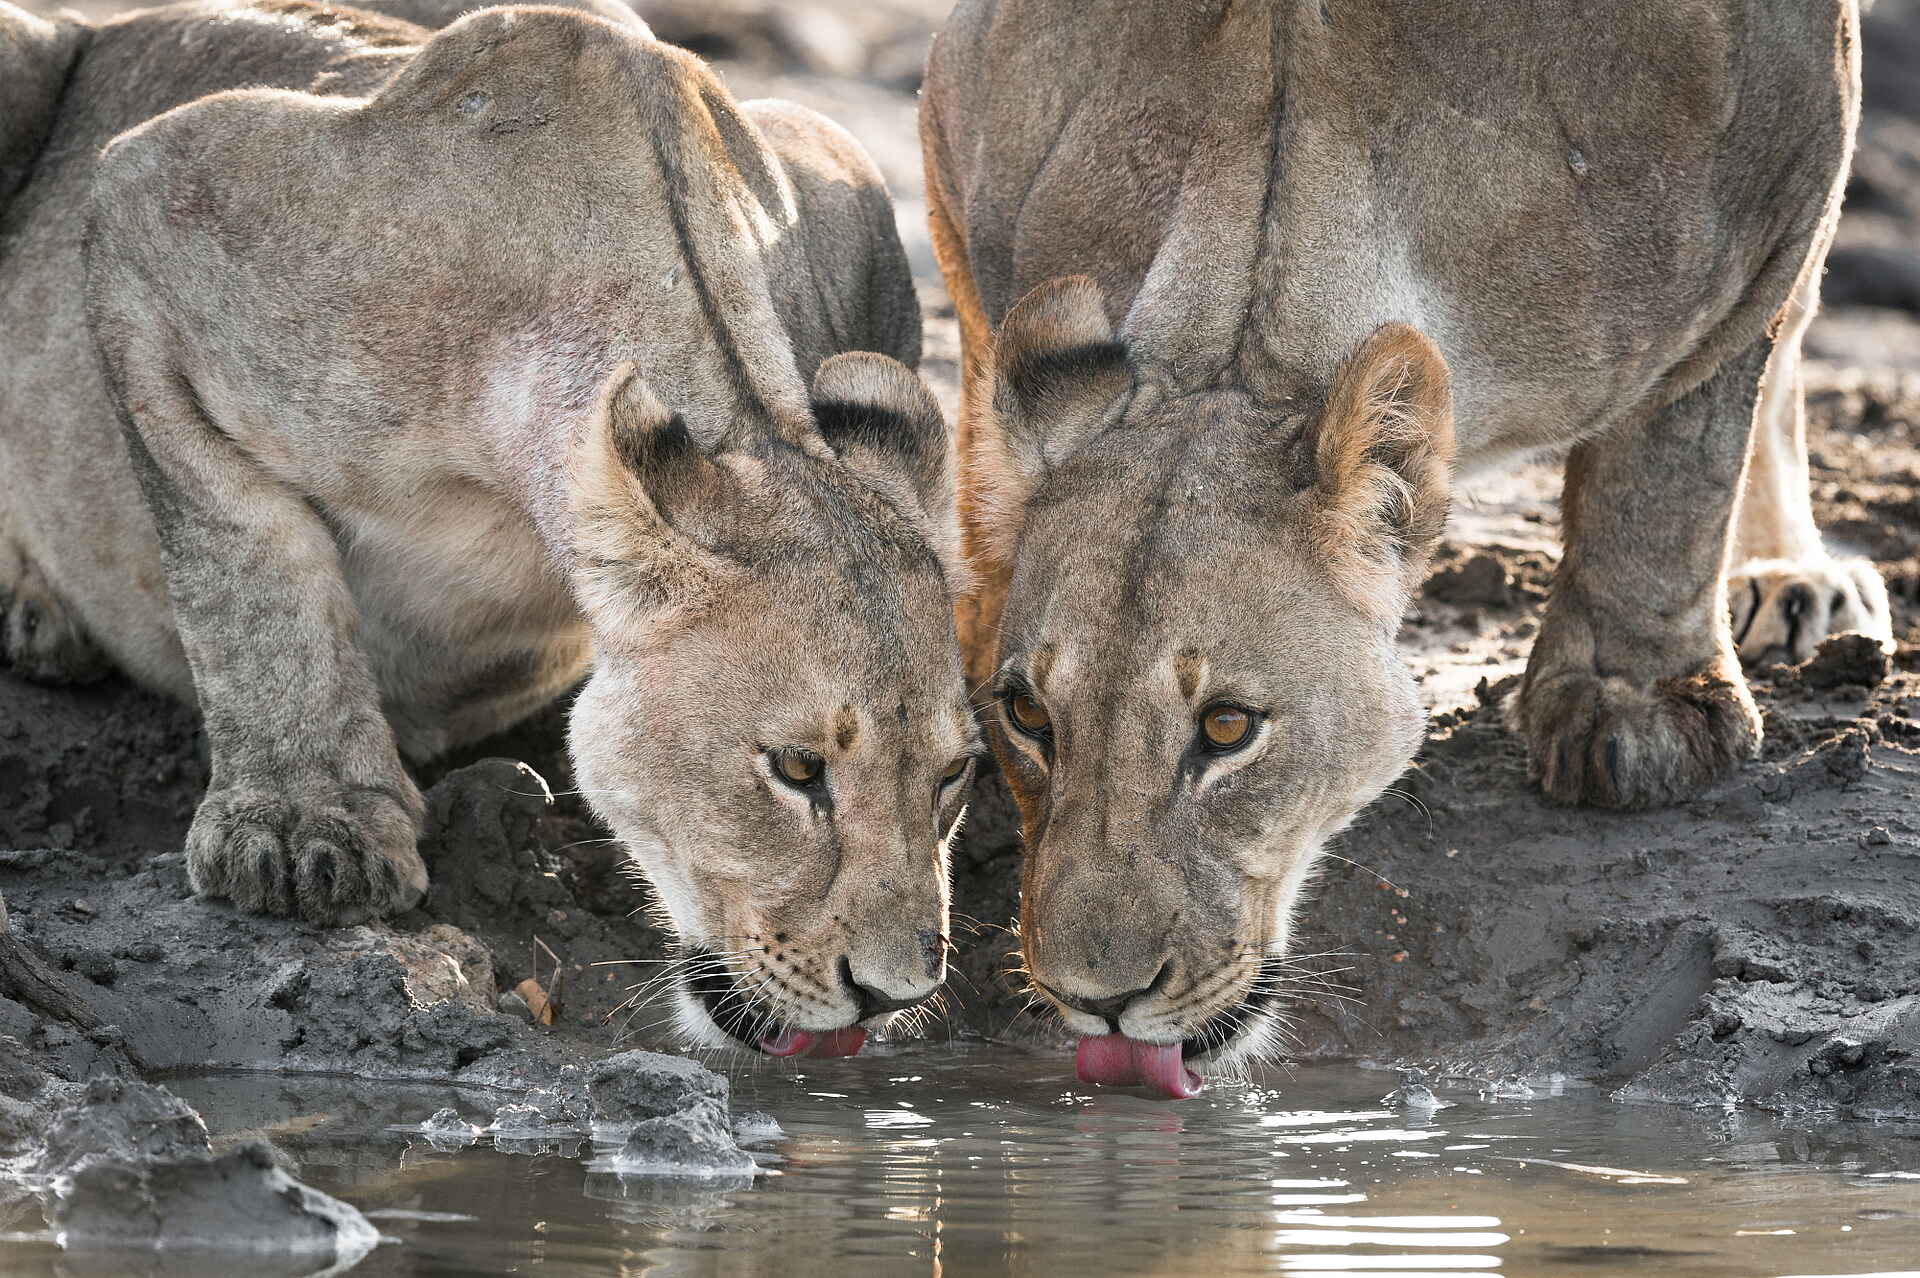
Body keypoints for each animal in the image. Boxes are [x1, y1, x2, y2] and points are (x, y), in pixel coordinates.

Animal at [0, 0, 979, 1057]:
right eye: (797, 769)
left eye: (955, 775)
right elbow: (246, 575)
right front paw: (306, 830)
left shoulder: (846, 185)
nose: (892, 994)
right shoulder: (156, 197)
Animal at [921, 0, 1889, 1094]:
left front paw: (1639, 713)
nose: (1098, 999)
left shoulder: (1785, 163)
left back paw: (1795, 580)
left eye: (1226, 728)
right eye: (1028, 715)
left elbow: (1678, 458)